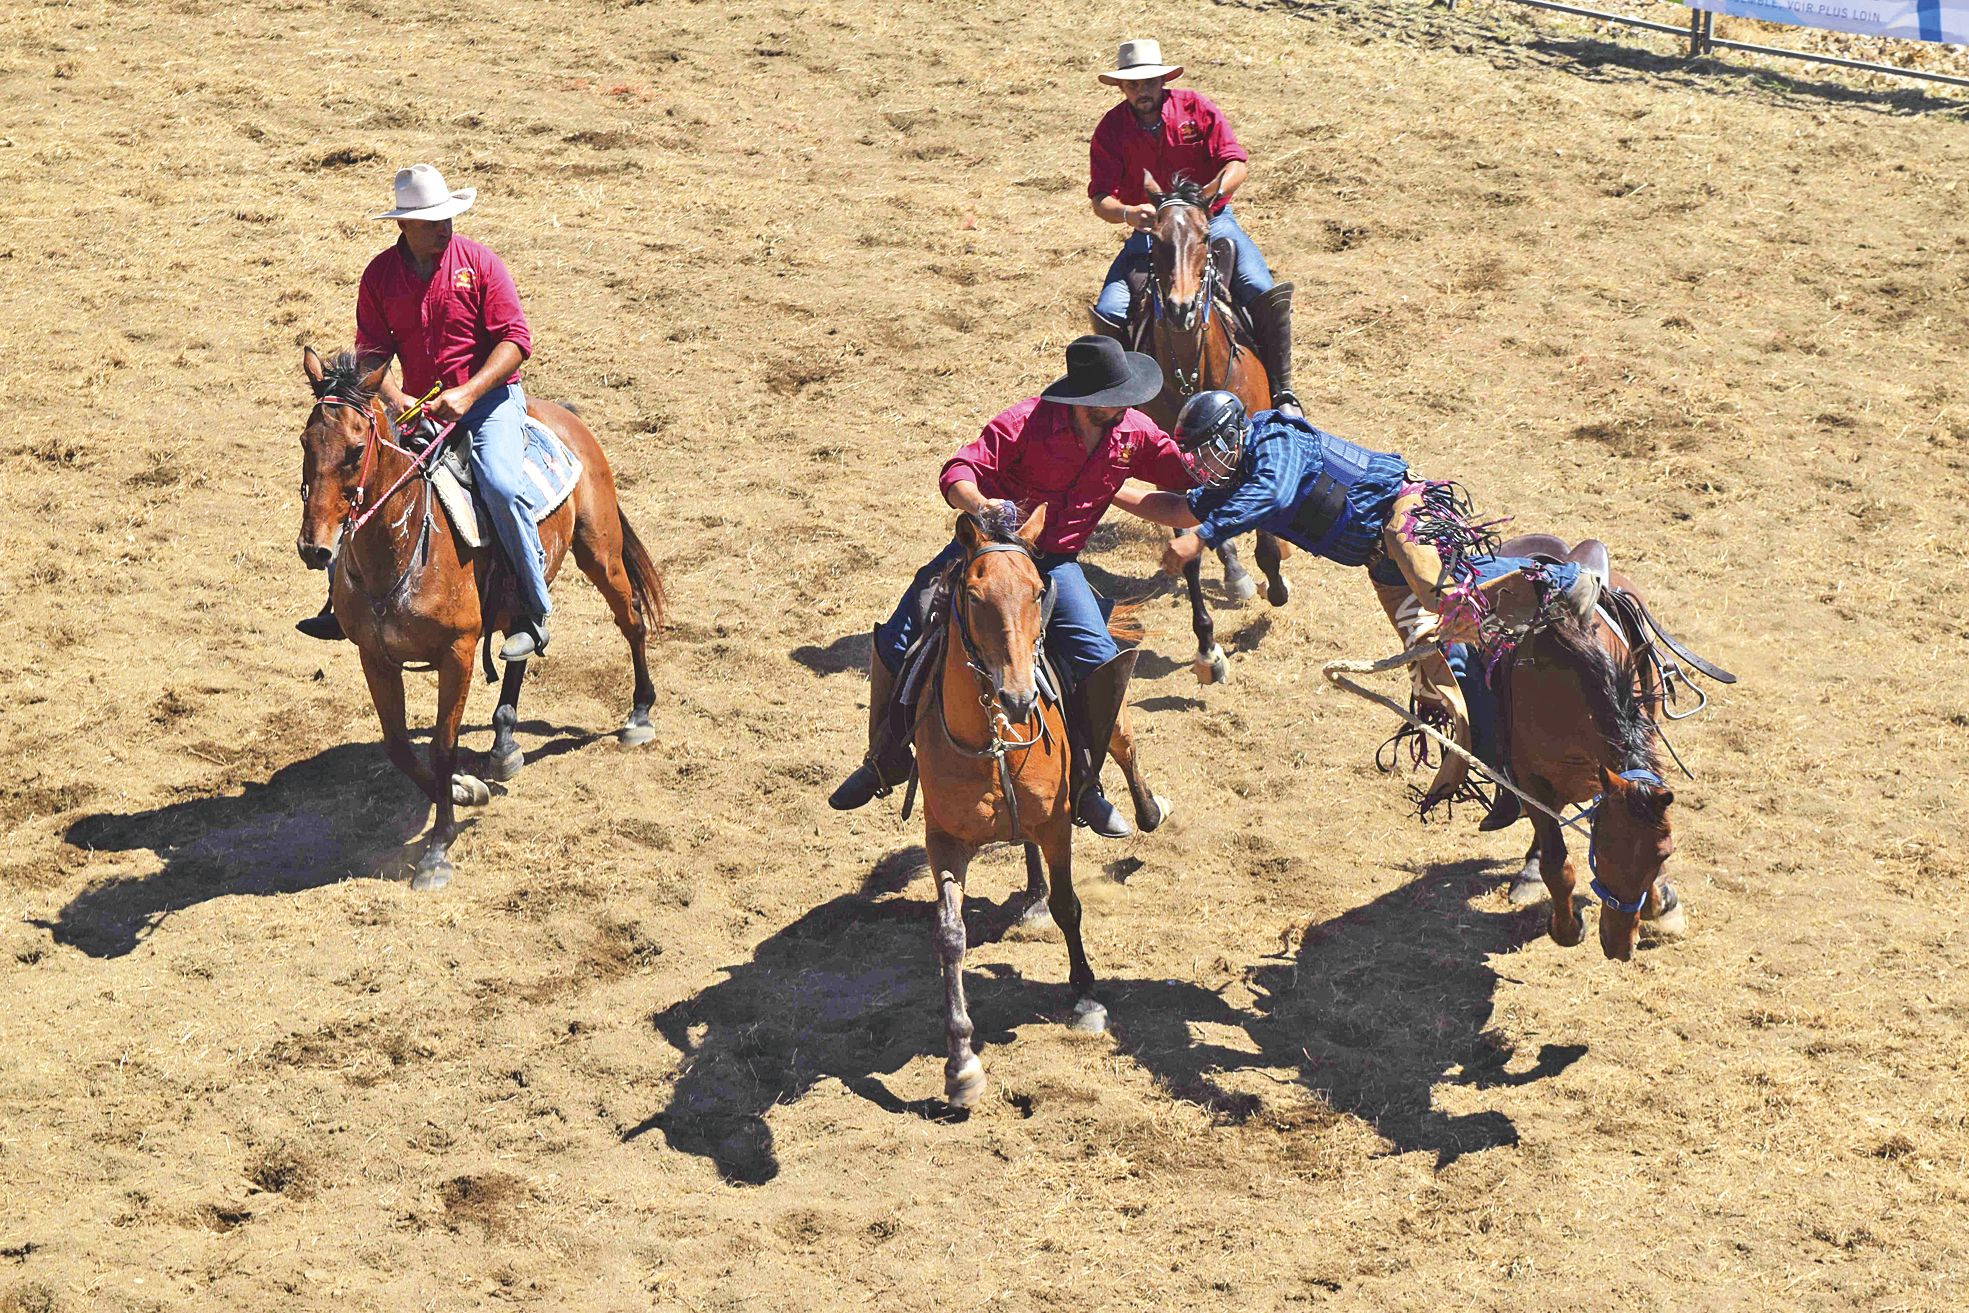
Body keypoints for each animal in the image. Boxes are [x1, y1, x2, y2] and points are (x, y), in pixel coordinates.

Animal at [909, 503, 1165, 1110]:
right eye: (974, 595)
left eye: (1036, 591)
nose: (1020, 695)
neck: (992, 739)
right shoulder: (944, 842)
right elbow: (950, 936)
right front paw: (961, 1065)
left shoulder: (1055, 826)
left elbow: (1070, 906)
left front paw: (1087, 998)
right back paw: (1030, 896)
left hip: (1111, 713)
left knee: (1126, 748)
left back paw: (1145, 810)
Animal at [1142, 172, 1291, 688]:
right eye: (1155, 238)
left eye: (1205, 237)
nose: (1181, 308)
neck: (1193, 373)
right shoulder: (1174, 471)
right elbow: (1190, 550)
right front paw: (1208, 649)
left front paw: (1275, 579)